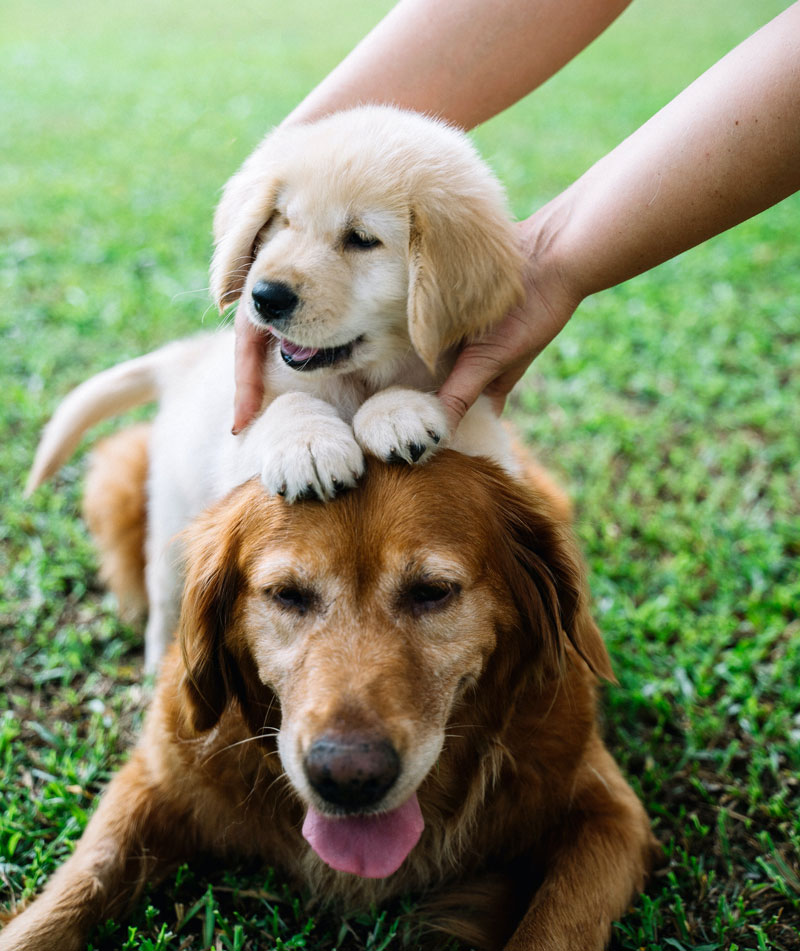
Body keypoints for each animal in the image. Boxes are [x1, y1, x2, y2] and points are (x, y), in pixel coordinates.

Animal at [3, 432, 656, 951]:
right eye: (288, 595)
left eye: (432, 591)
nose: (348, 777)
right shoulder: (161, 775)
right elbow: (81, 879)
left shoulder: (607, 811)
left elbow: (557, 924)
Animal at [26, 106, 524, 668]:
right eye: (283, 220)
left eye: (361, 239)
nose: (265, 296)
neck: (353, 380)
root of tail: (187, 358)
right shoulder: (244, 432)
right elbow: (284, 405)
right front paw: (309, 446)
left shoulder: (483, 439)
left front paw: (398, 412)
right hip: (174, 523)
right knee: (166, 604)